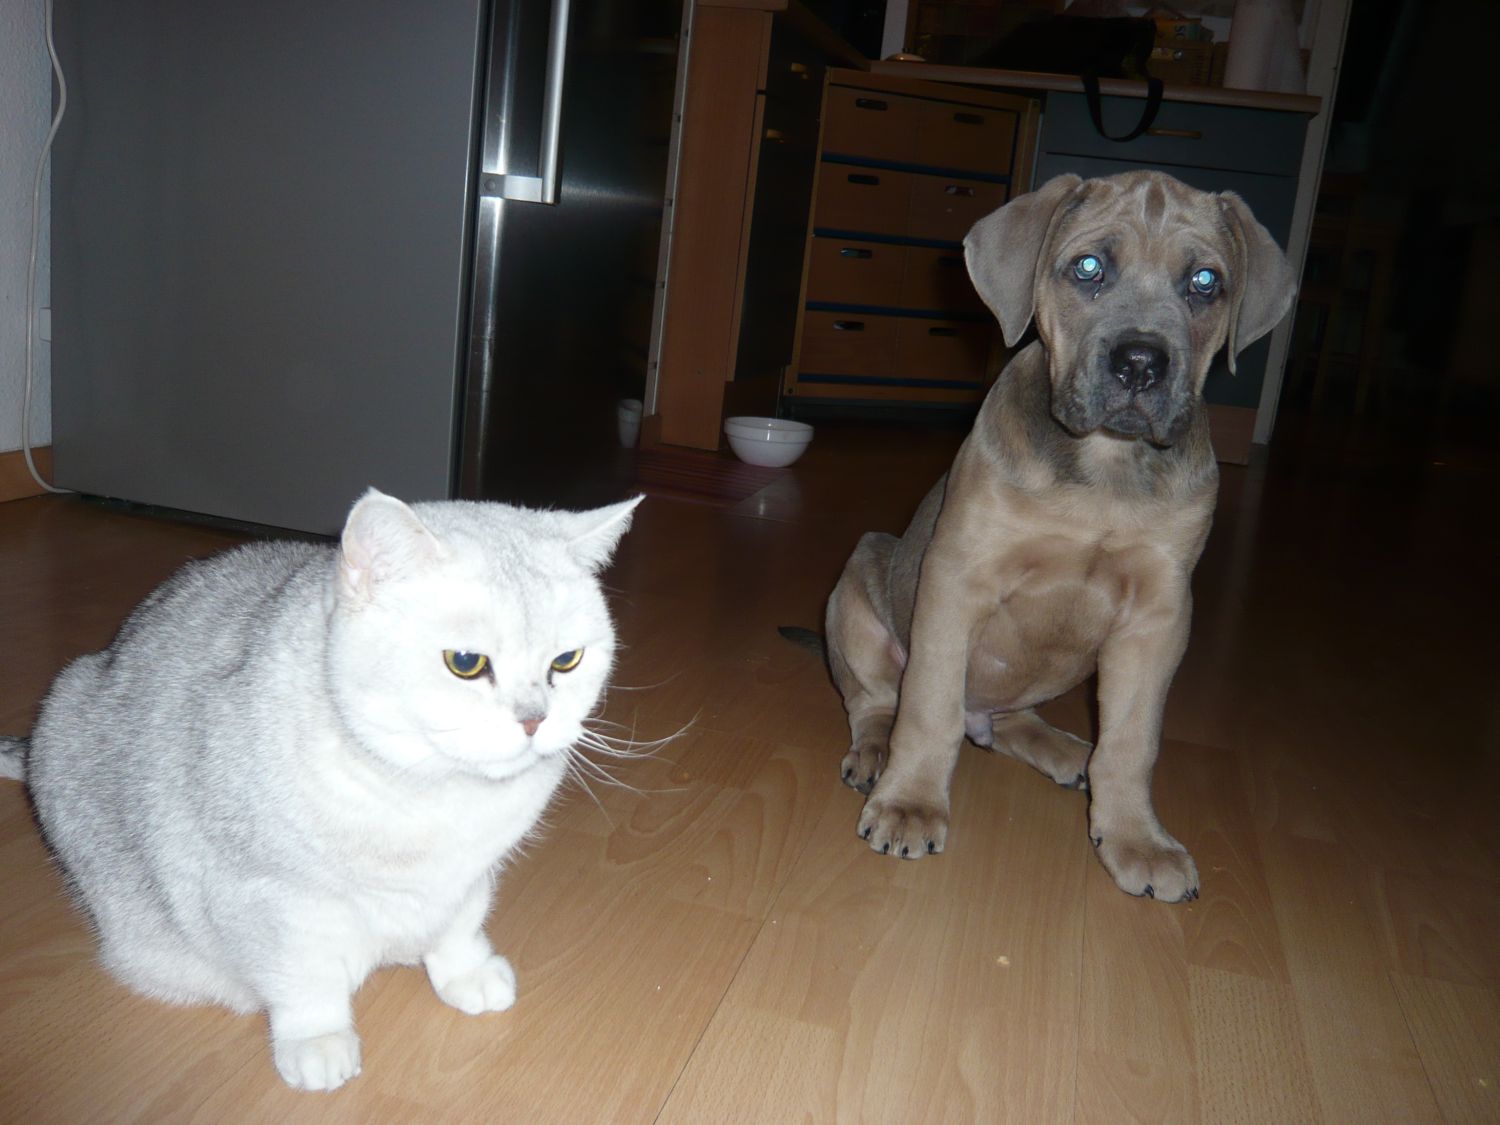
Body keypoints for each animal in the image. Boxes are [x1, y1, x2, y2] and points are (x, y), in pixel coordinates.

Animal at [0, 487, 640, 1091]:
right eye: (465, 663)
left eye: (567, 660)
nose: (536, 721)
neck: (432, 788)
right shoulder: (270, 897)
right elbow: (306, 979)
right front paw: (318, 1042)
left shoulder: (470, 875)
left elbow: (458, 925)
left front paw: (465, 974)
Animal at [821, 171, 1296, 901]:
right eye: (1089, 268)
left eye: (1205, 282)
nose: (1140, 363)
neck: (1104, 467)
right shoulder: (959, 576)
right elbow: (927, 707)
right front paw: (911, 804)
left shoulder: (1159, 615)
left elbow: (1133, 740)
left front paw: (1136, 837)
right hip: (859, 579)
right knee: (877, 700)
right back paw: (877, 755)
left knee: (1013, 719)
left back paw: (1069, 751)